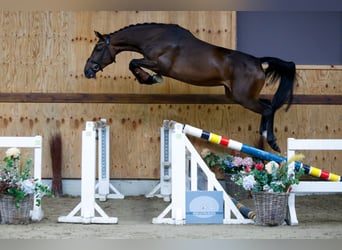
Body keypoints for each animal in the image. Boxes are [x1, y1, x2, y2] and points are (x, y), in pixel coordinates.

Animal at [84, 23, 296, 152]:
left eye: (98, 48)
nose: (87, 71)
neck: (156, 38)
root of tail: (259, 62)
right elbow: (133, 63)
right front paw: (149, 78)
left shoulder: (159, 64)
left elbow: (133, 62)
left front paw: (150, 79)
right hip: (237, 95)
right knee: (268, 105)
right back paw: (263, 134)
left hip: (243, 97)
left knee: (267, 109)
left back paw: (272, 141)